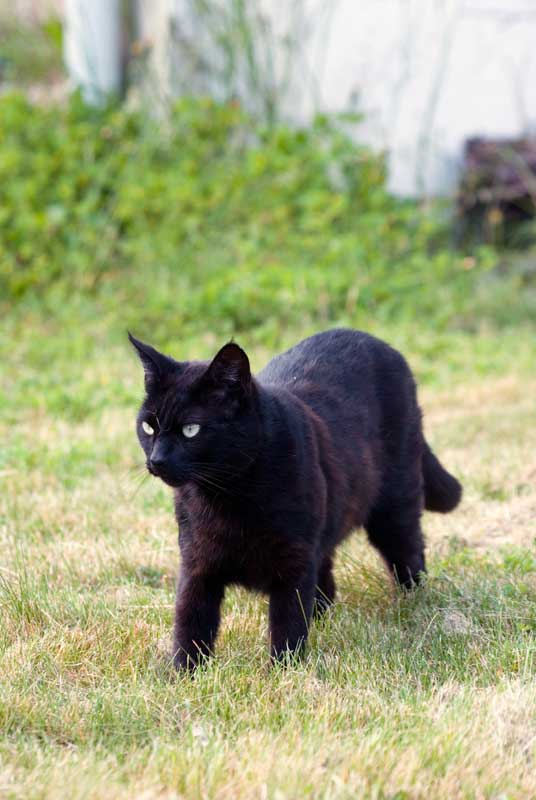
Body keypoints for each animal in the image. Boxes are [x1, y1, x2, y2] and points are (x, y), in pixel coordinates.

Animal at [130, 328, 460, 672]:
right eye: (148, 426)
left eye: (191, 430)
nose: (156, 460)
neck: (228, 497)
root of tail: (374, 340)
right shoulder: (197, 563)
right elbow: (190, 624)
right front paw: (184, 674)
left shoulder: (294, 562)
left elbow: (287, 623)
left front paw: (283, 672)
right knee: (327, 581)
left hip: (395, 506)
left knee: (409, 554)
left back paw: (415, 606)